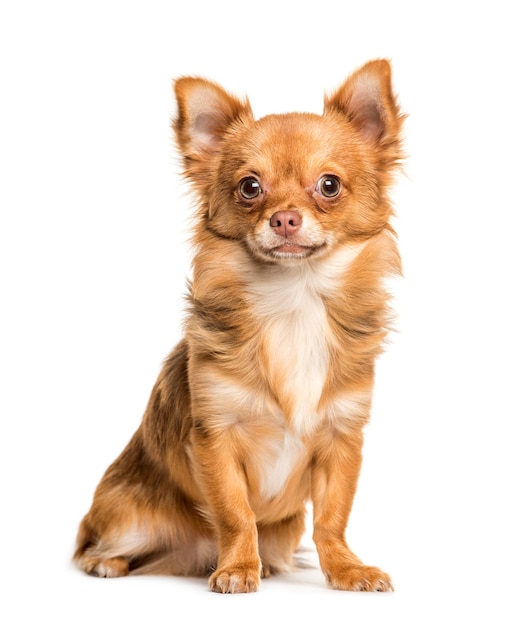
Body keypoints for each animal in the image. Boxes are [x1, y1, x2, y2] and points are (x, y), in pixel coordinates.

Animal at [74, 61, 406, 592]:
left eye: (329, 185)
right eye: (250, 187)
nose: (285, 218)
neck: (293, 301)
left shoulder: (342, 436)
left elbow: (332, 518)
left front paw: (347, 569)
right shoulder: (215, 435)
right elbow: (235, 512)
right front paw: (236, 568)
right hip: (129, 516)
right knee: (92, 541)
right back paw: (109, 562)